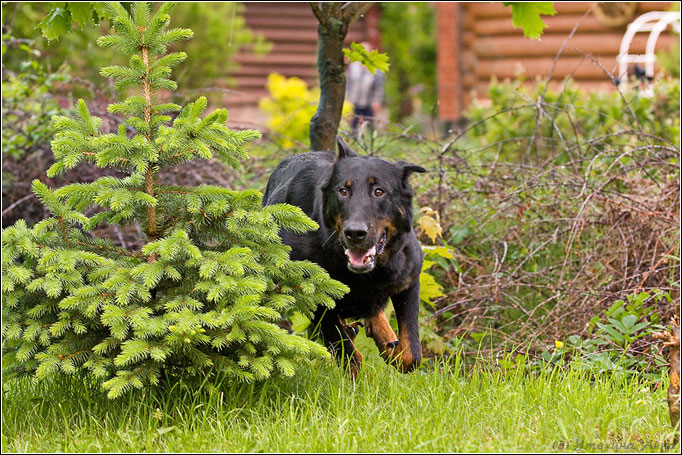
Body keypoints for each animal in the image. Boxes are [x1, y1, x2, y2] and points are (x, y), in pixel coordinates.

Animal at [262, 136, 424, 378]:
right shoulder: (313, 293)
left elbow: (411, 355)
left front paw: (393, 349)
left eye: (379, 192)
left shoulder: (409, 280)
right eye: (343, 191)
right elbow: (346, 350)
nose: (355, 233)